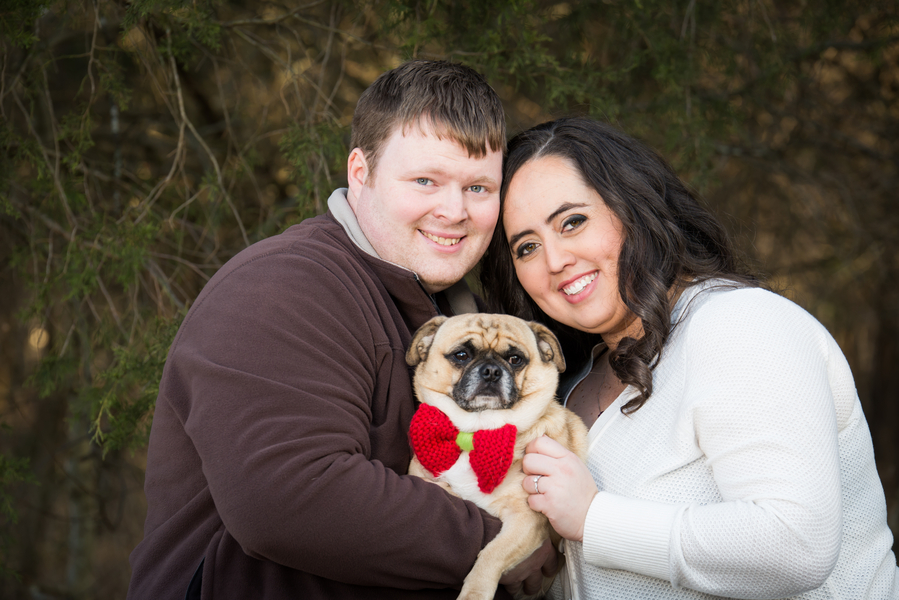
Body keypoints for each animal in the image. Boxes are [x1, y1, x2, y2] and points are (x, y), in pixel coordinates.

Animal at [408, 314, 592, 600]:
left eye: (515, 359)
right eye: (461, 355)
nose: (492, 371)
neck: (478, 431)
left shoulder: (525, 520)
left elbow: (490, 555)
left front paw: (474, 593)